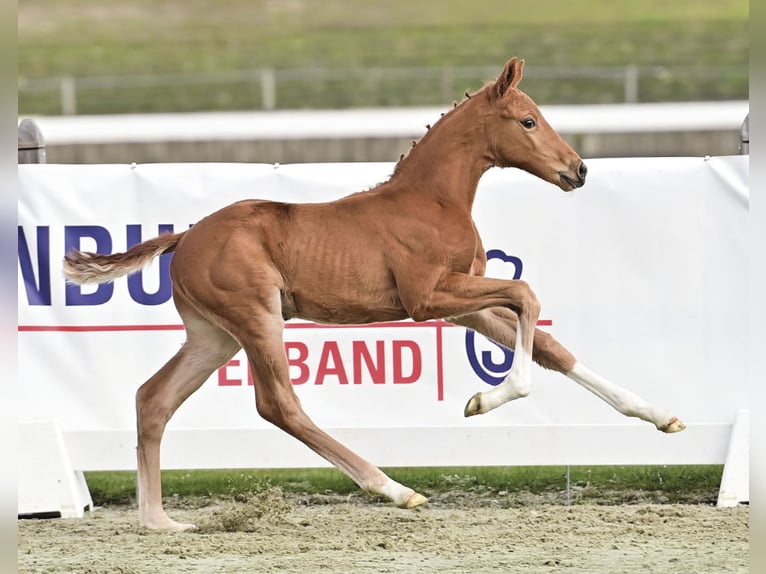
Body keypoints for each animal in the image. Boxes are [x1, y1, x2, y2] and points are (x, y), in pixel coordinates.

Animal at [63, 57, 685, 531]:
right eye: (529, 121)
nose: (578, 170)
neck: (431, 201)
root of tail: (186, 236)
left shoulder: (466, 306)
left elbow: (551, 344)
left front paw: (661, 415)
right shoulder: (427, 300)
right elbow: (527, 294)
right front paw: (484, 401)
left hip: (213, 336)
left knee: (153, 399)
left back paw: (159, 522)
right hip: (257, 318)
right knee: (278, 404)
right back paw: (395, 489)